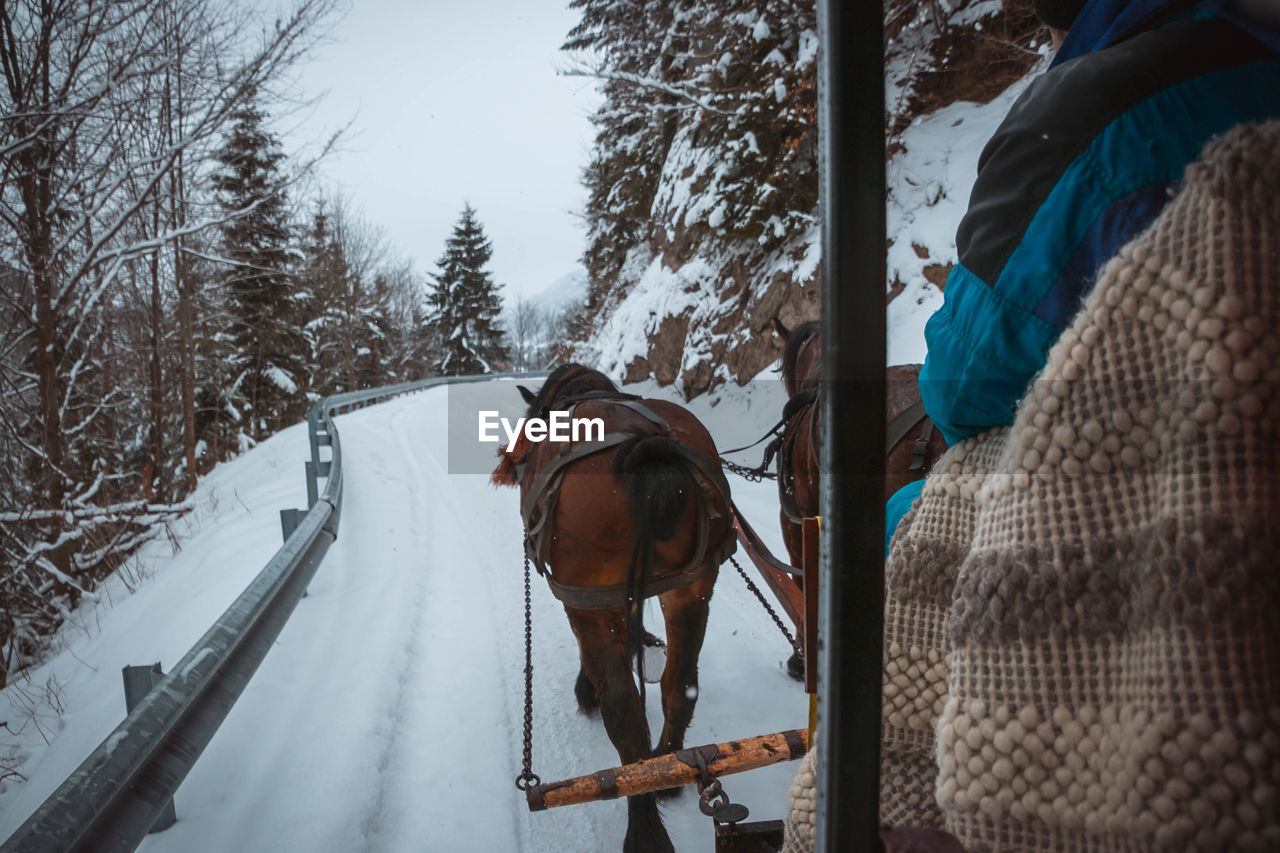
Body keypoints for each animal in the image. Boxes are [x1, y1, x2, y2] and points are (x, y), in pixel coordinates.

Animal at [486, 361, 732, 850]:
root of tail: (645, 446)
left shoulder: (590, 599)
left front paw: (588, 689)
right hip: (692, 588)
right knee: (680, 685)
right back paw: (669, 771)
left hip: (592, 599)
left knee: (626, 714)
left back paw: (645, 823)